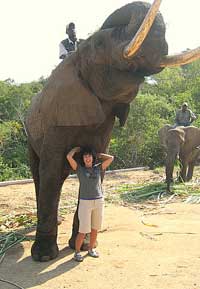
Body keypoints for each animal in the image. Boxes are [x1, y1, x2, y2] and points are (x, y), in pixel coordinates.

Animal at [25, 0, 200, 260]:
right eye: (99, 44)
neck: (75, 59)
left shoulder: (105, 122)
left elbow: (97, 165)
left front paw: (83, 246)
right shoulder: (56, 117)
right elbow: (51, 170)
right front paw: (45, 257)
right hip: (30, 133)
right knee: (40, 173)